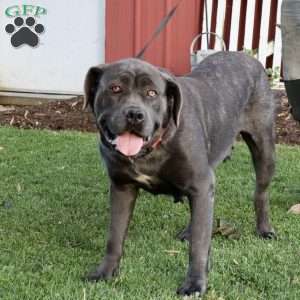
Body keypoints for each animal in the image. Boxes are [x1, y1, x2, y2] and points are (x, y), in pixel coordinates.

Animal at [82, 52, 276, 296]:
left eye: (152, 93)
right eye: (115, 88)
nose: (135, 114)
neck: (151, 149)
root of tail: (247, 57)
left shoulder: (200, 183)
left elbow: (199, 245)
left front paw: (195, 283)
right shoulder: (122, 187)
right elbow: (114, 236)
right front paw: (105, 272)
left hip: (264, 149)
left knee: (261, 192)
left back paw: (265, 229)